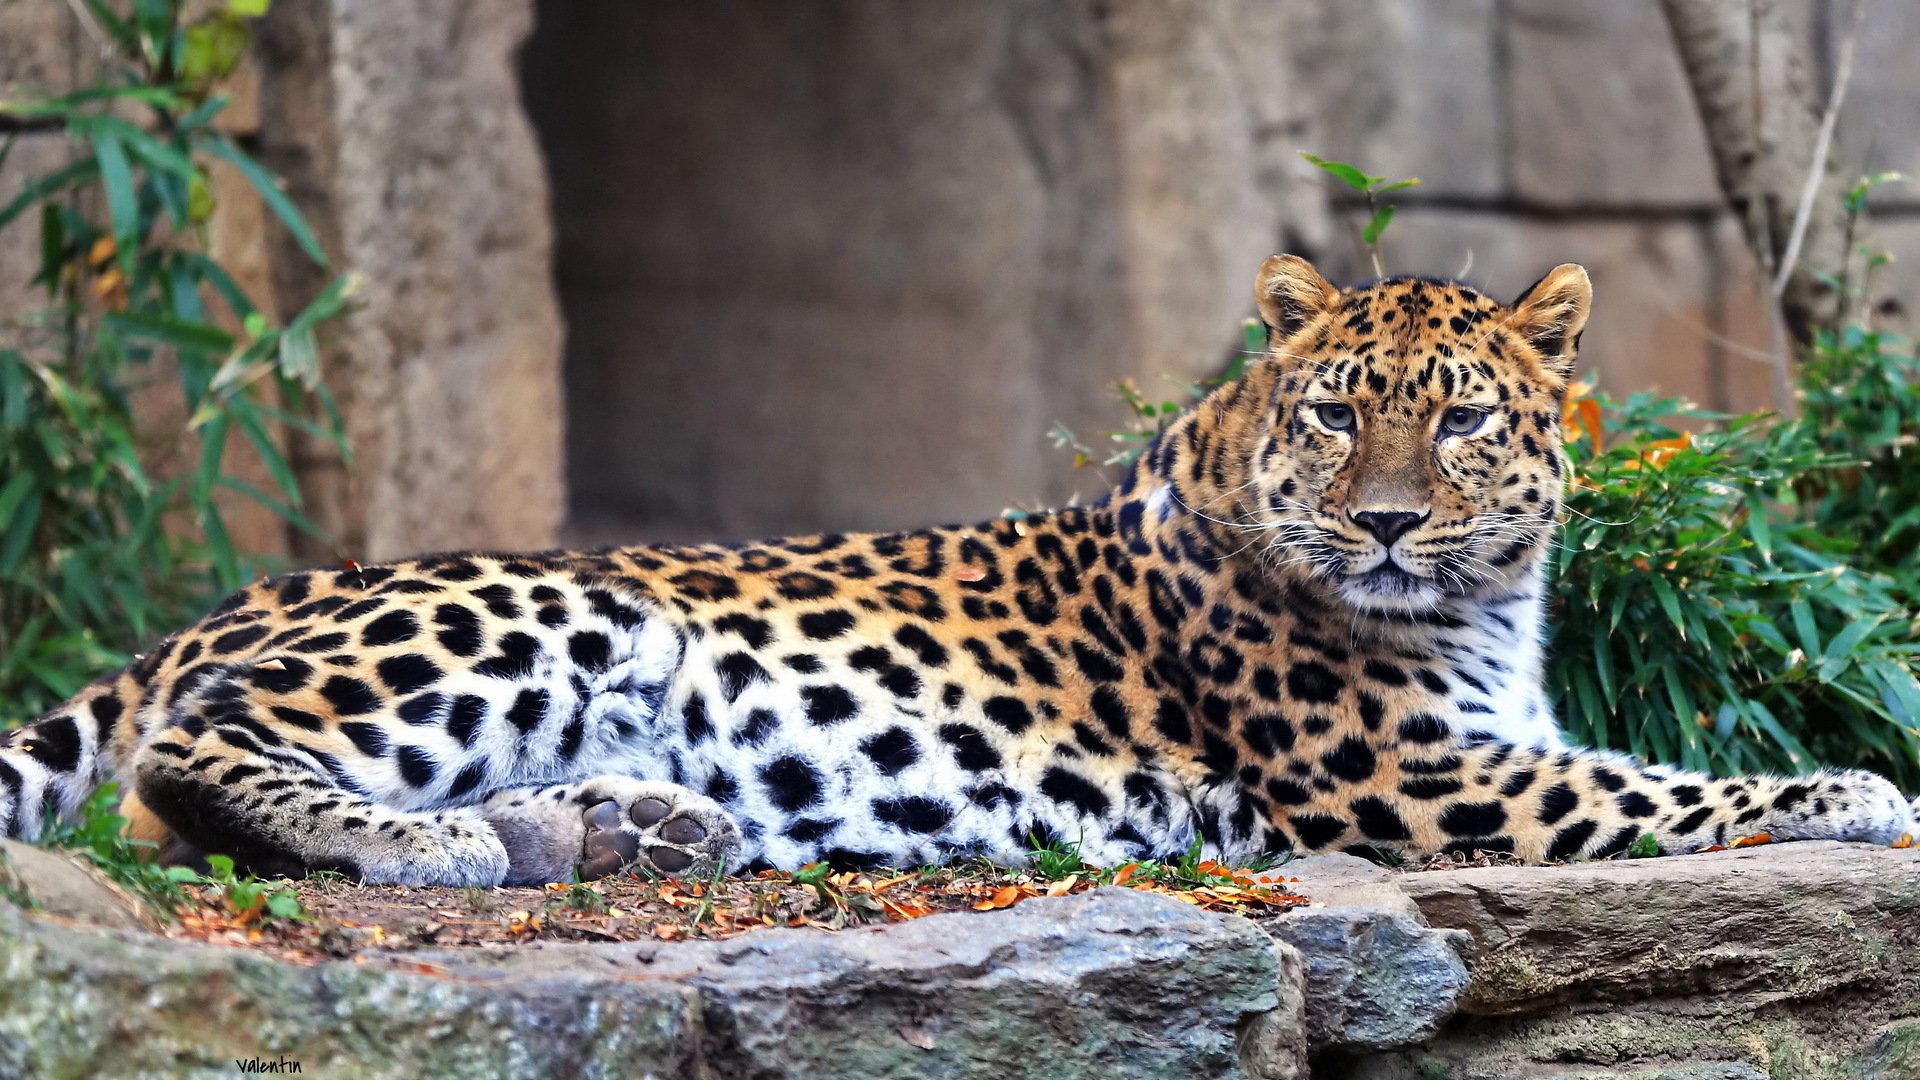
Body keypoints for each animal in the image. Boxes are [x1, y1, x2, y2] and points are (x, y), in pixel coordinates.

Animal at [2, 255, 1914, 887]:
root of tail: (237, 599)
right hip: (558, 605)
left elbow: (1657, 770)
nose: (1380, 525)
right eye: (1336, 414)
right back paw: (448, 846)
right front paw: (1861, 790)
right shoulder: (1422, 781)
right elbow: (1670, 790)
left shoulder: (1492, 745)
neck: (1483, 602)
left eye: (1456, 423)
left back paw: (627, 828)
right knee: (188, 764)